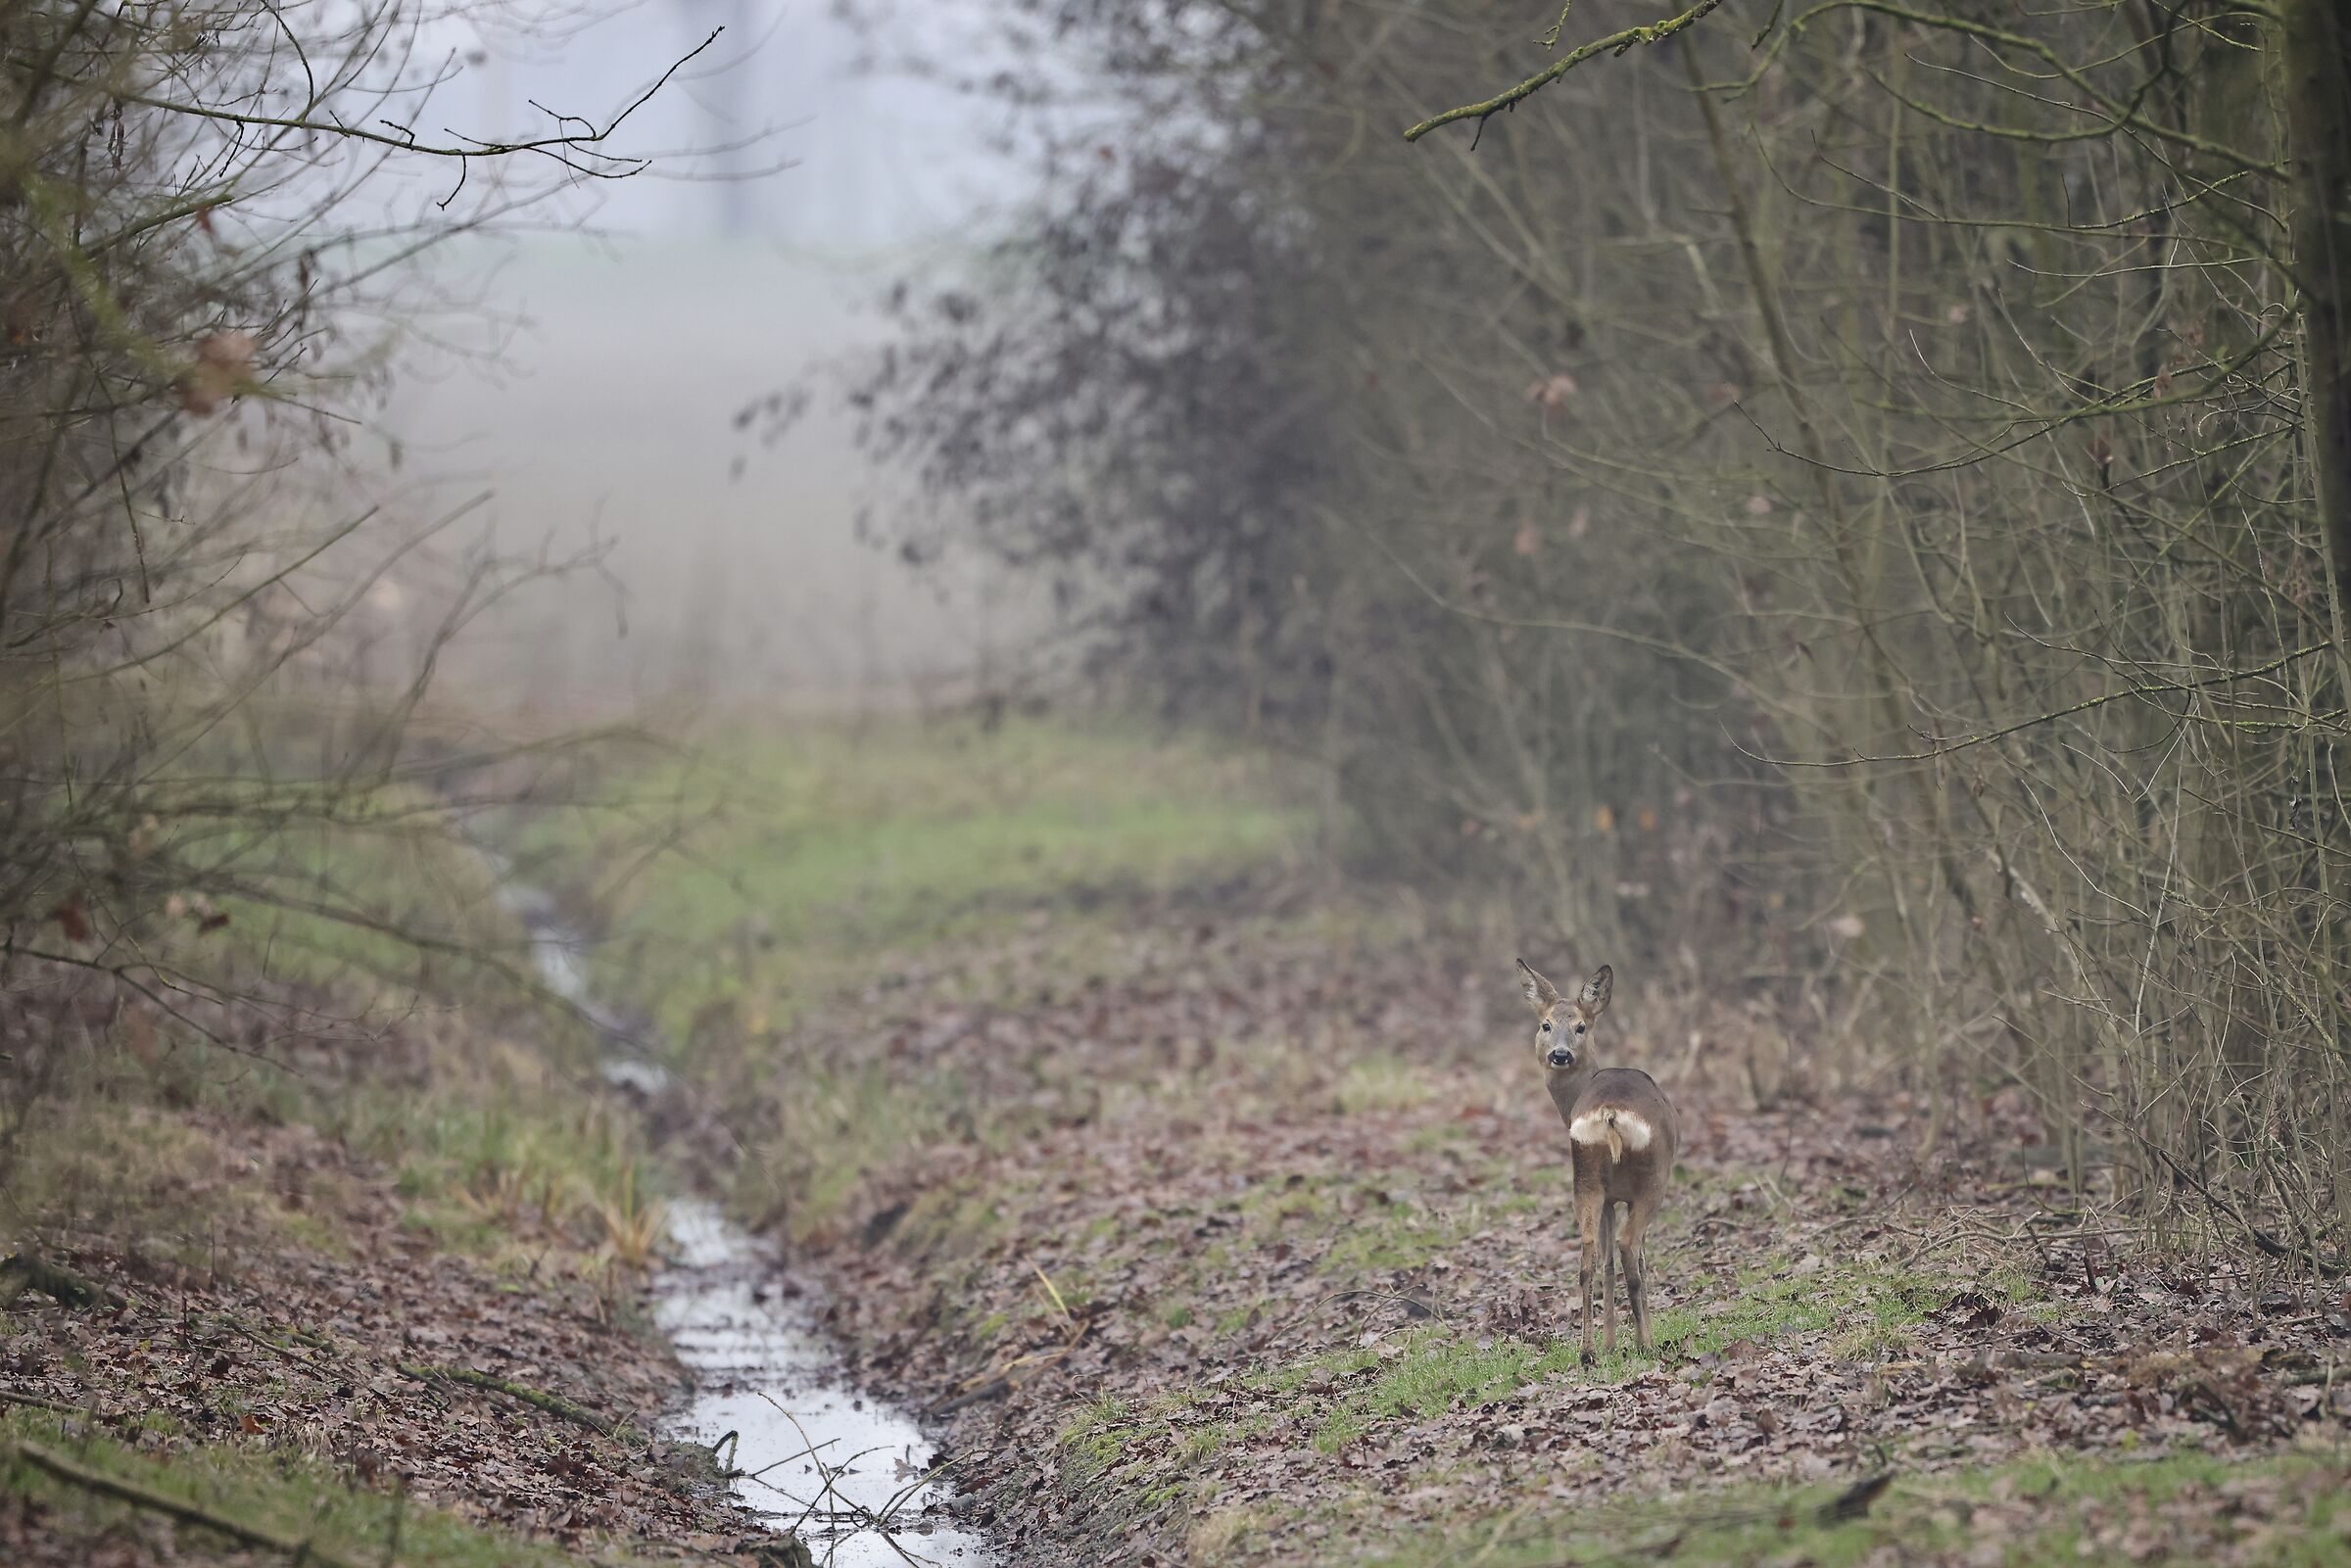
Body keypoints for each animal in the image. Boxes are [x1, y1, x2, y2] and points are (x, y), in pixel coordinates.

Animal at [1517, 958, 1678, 1366]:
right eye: (1545, 1024)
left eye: (1580, 1025)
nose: (1560, 1054)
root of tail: (1609, 1114)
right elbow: (1638, 1259)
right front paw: (1632, 1337)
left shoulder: (1607, 1198)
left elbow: (1604, 1263)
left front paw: (1608, 1343)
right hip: (1653, 1180)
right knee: (1630, 1248)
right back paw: (1645, 1344)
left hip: (1586, 1178)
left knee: (1588, 1256)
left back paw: (1588, 1351)